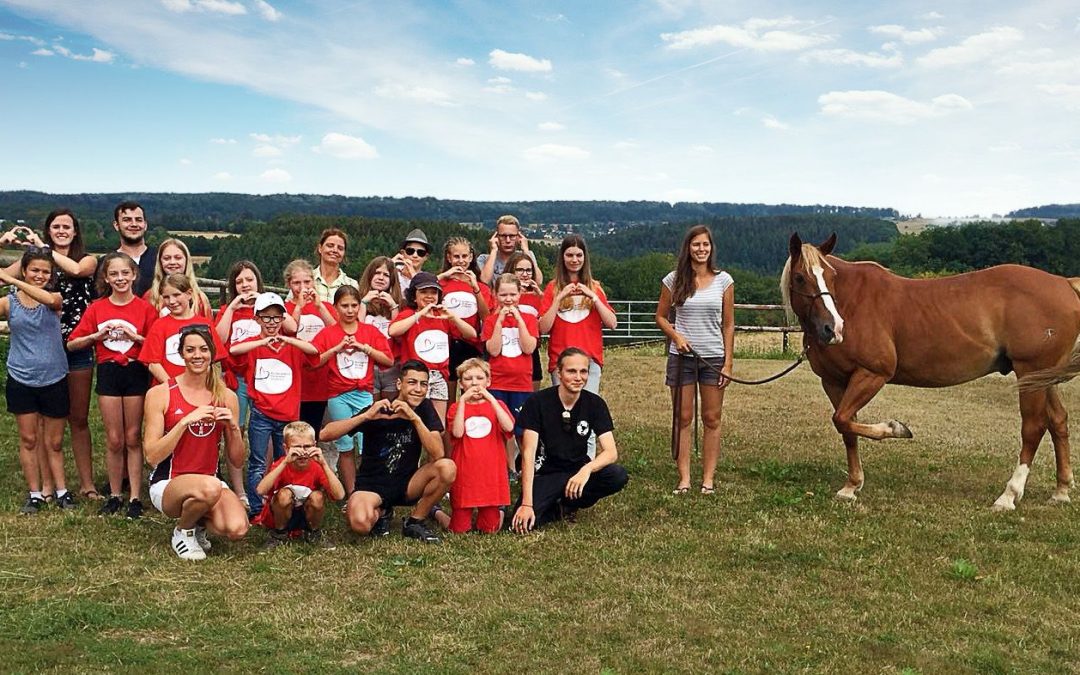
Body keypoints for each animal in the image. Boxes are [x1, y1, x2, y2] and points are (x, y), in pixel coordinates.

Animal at [781, 231, 1080, 509]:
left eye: (830, 277)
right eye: (800, 277)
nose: (833, 329)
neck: (853, 303)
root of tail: (1064, 283)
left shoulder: (872, 374)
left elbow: (843, 419)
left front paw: (895, 428)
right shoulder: (833, 381)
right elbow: (846, 428)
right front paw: (851, 486)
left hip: (1031, 372)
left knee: (1033, 427)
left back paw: (1009, 495)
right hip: (1041, 377)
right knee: (1058, 421)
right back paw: (1061, 490)